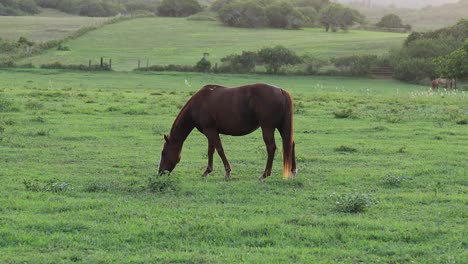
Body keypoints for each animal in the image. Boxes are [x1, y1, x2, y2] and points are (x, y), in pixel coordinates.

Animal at [157, 83, 296, 182]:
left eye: (163, 153)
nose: (160, 172)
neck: (199, 103)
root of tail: (281, 91)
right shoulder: (211, 131)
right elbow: (211, 151)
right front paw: (207, 171)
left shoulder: (210, 131)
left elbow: (219, 150)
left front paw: (227, 173)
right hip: (281, 127)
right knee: (291, 144)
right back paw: (293, 171)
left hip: (267, 127)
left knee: (271, 148)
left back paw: (264, 175)